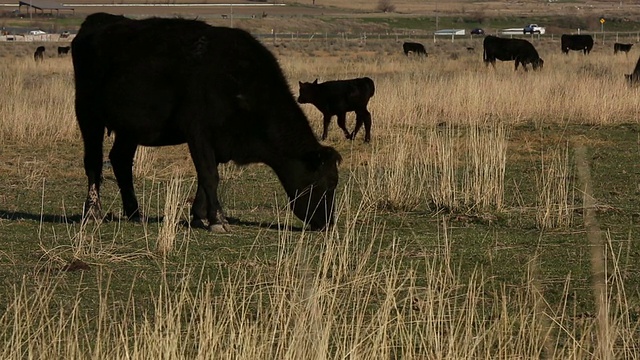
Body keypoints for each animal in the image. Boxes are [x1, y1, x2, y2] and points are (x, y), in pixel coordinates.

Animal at [72, 13, 342, 231]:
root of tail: (98, 20)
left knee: (120, 160)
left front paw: (199, 215)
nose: (327, 223)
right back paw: (93, 212)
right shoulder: (198, 133)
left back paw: (135, 213)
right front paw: (218, 220)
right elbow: (210, 175)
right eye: (328, 184)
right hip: (88, 115)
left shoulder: (219, 143)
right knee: (94, 161)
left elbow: (204, 178)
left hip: (130, 128)